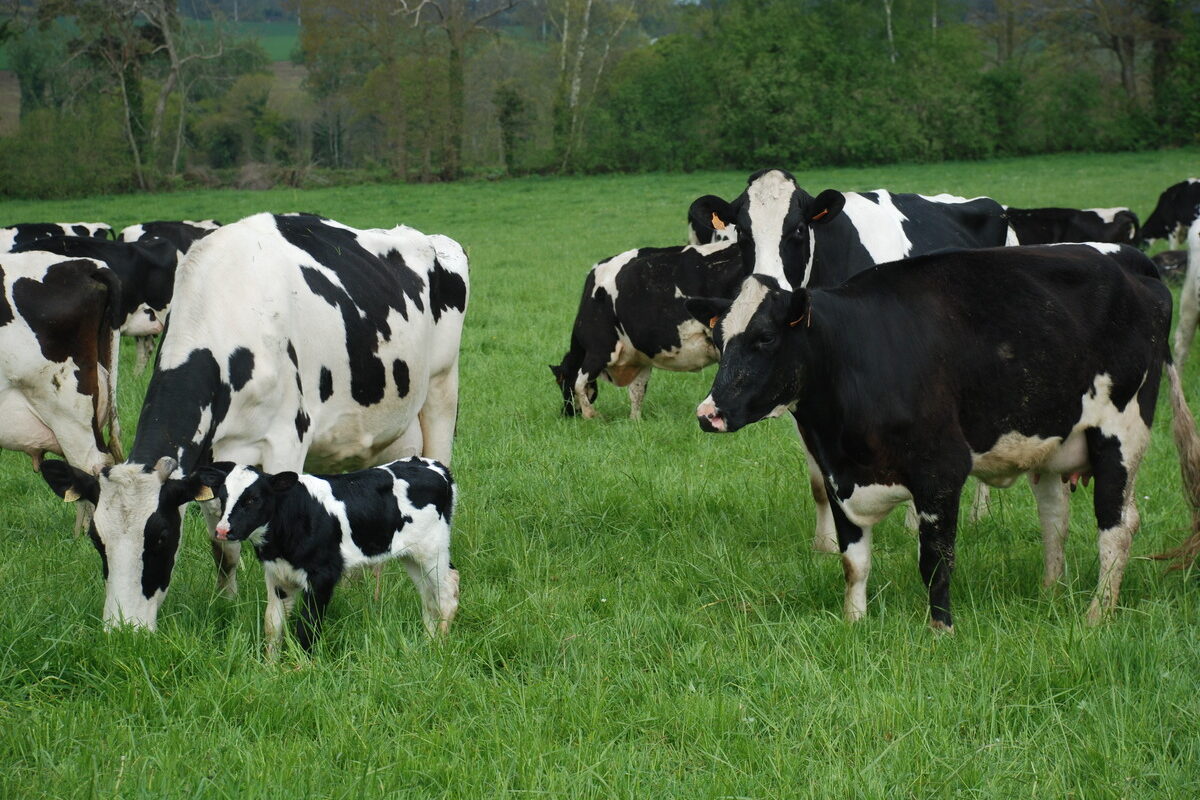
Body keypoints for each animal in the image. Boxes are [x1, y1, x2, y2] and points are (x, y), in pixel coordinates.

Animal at [36, 212, 469, 631]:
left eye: (160, 537)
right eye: (98, 539)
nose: (124, 630)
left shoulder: (286, 442)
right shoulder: (211, 463)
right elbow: (222, 547)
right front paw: (225, 605)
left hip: (441, 391)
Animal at [180, 457, 458, 653]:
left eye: (253, 499)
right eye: (223, 496)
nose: (222, 530)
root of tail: (434, 466)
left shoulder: (323, 575)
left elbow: (307, 626)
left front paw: (302, 668)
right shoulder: (277, 574)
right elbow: (273, 624)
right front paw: (270, 668)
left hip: (433, 551)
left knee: (447, 590)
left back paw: (440, 645)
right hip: (411, 556)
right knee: (428, 597)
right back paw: (427, 641)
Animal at [552, 240, 747, 419]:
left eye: (561, 380)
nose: (565, 413)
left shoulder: (599, 350)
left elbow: (579, 383)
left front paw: (591, 416)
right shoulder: (640, 358)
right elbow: (637, 391)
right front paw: (634, 421)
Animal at [686, 243, 1200, 631]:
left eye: (765, 338)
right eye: (719, 340)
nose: (708, 414)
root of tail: (1130, 260)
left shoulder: (940, 471)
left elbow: (935, 560)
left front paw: (940, 630)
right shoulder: (837, 477)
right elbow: (854, 562)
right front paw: (855, 623)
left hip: (1120, 430)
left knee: (1117, 525)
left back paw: (1097, 614)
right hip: (1053, 440)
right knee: (1056, 519)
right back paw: (1049, 594)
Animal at [688, 169, 1018, 551]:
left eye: (798, 228)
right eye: (742, 231)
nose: (768, 284)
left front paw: (910, 526)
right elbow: (820, 478)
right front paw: (826, 544)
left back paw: (981, 513)